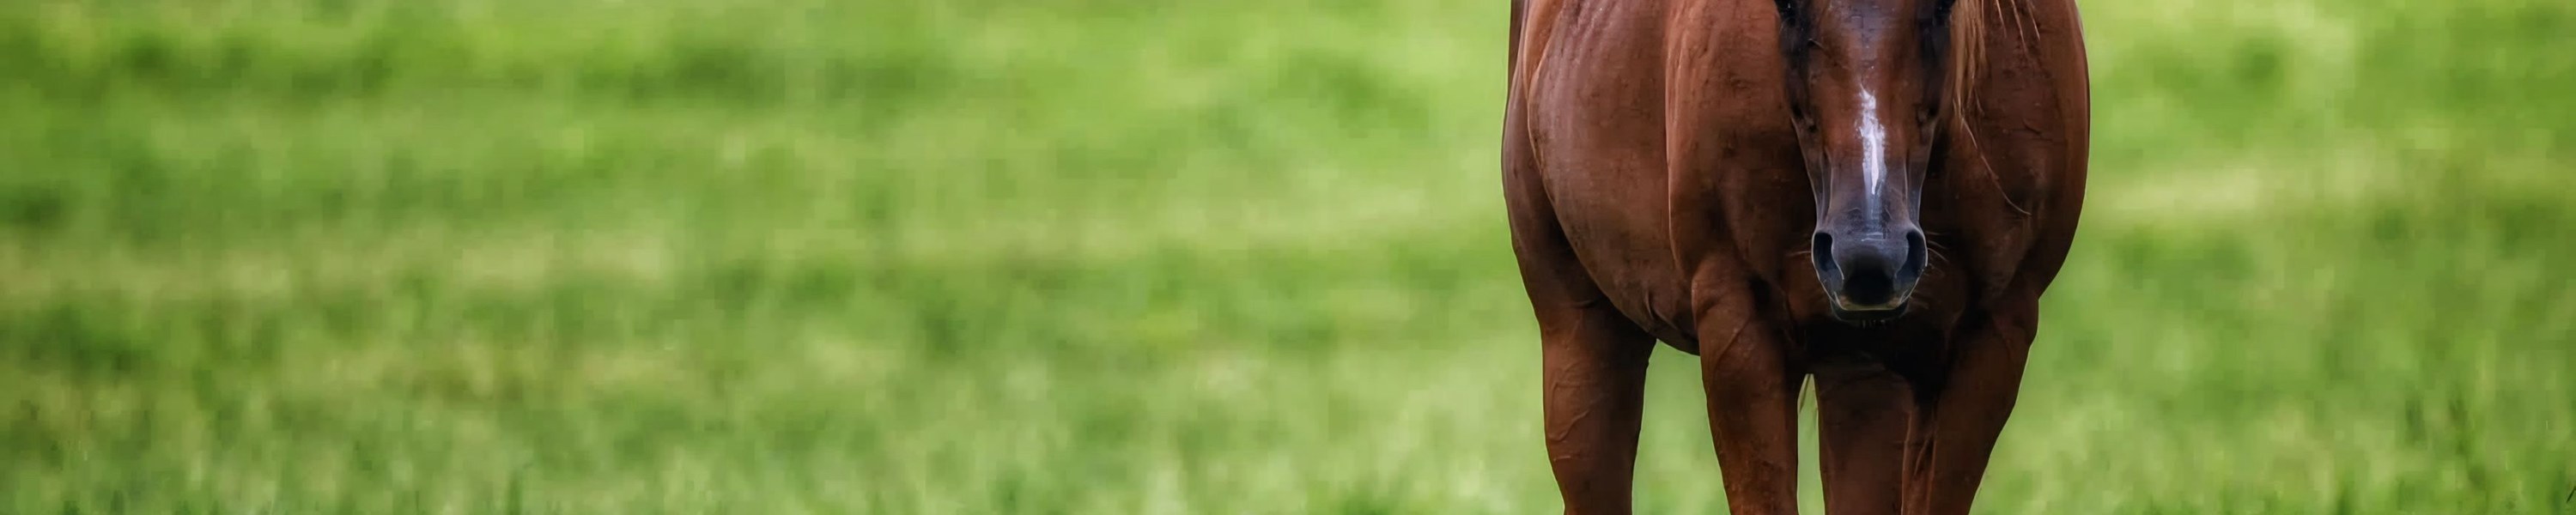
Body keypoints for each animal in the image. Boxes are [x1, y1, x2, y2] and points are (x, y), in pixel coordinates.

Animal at [1500, 0, 2090, 512]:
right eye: (1785, 6)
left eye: (1943, 5)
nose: (1868, 255)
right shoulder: (1740, 332)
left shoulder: (1992, 340)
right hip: (1580, 339)